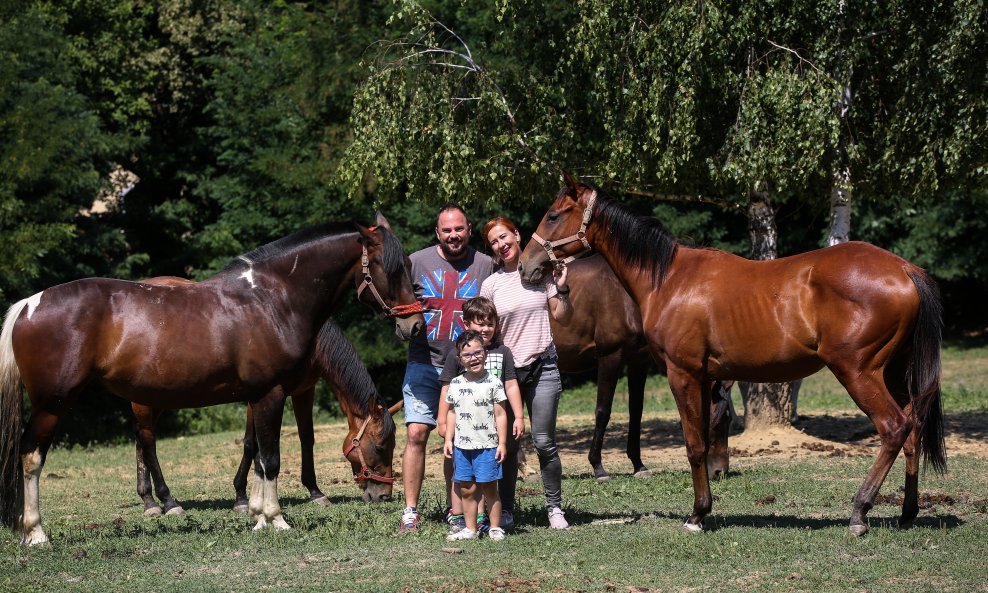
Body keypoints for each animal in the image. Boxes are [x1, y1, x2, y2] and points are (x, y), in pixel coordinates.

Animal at [0, 215, 424, 544]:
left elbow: (258, 454)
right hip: (54, 404)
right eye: (392, 268)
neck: (273, 299)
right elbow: (270, 457)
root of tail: (29, 304)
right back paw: (38, 532)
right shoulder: (272, 394)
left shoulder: (263, 395)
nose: (416, 324)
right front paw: (275, 518)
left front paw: (256, 514)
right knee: (33, 456)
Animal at [552, 254, 728, 480]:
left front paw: (638, 465)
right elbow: (603, 410)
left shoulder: (639, 360)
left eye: (728, 419)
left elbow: (636, 411)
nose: (719, 472)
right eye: (719, 422)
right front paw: (598, 466)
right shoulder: (610, 357)